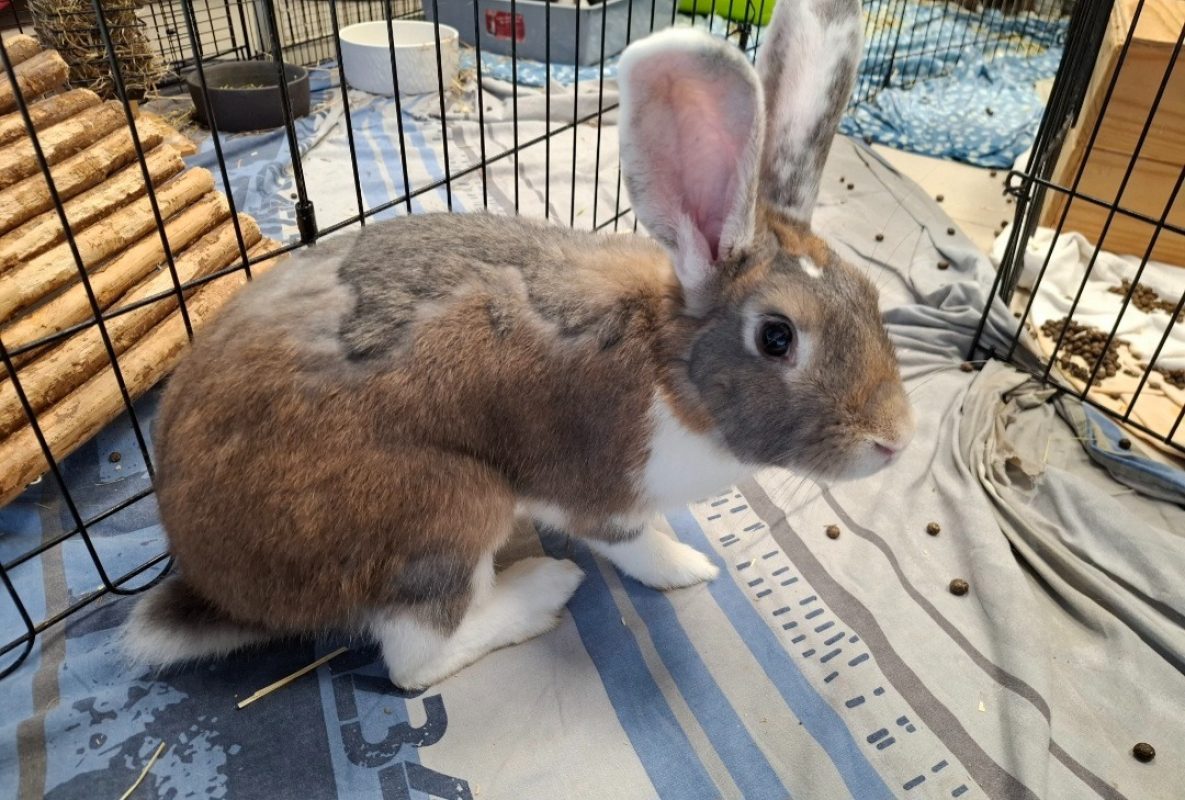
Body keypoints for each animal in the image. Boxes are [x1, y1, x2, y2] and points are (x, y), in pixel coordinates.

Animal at [122, 0, 914, 690]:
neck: (671, 370)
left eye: (870, 296)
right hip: (445, 510)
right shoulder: (602, 494)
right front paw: (687, 566)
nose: (894, 442)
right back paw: (542, 588)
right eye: (777, 337)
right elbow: (635, 545)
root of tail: (219, 586)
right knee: (416, 658)